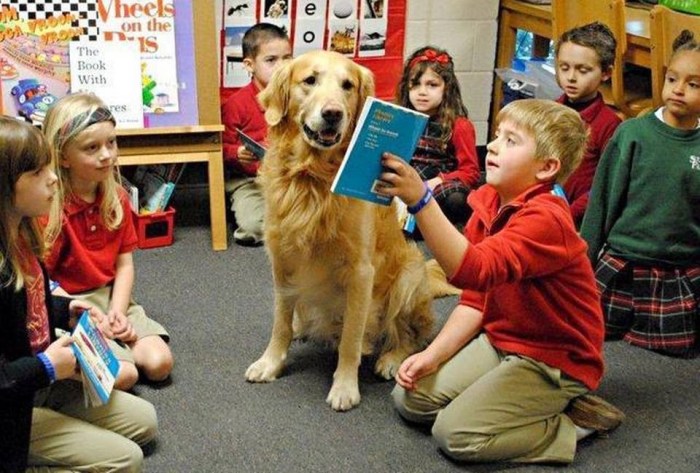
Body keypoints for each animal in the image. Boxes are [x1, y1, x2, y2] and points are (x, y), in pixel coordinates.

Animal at [246, 50, 460, 410]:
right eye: (310, 80)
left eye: (347, 85)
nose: (332, 114)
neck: (314, 178)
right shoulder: (282, 260)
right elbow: (280, 322)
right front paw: (271, 362)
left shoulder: (361, 270)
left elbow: (350, 338)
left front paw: (345, 387)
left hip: (408, 274)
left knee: (410, 335)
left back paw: (390, 359)